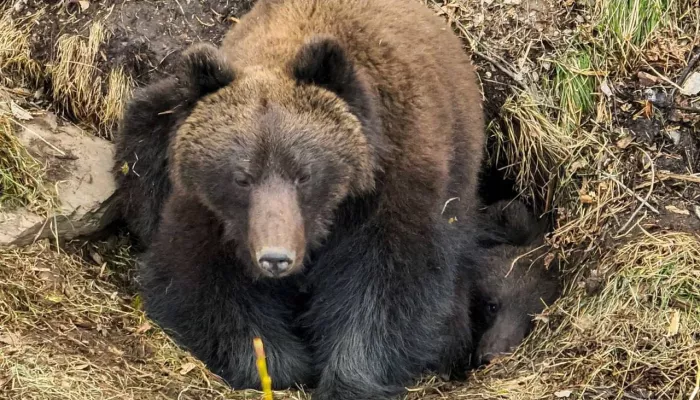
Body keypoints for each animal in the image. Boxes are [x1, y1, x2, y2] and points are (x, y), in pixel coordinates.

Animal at [113, 1, 486, 398]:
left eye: (303, 173)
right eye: (242, 177)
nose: (275, 258)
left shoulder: (393, 188)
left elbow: (390, 283)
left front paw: (348, 378)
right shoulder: (209, 211)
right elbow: (196, 282)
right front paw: (277, 363)